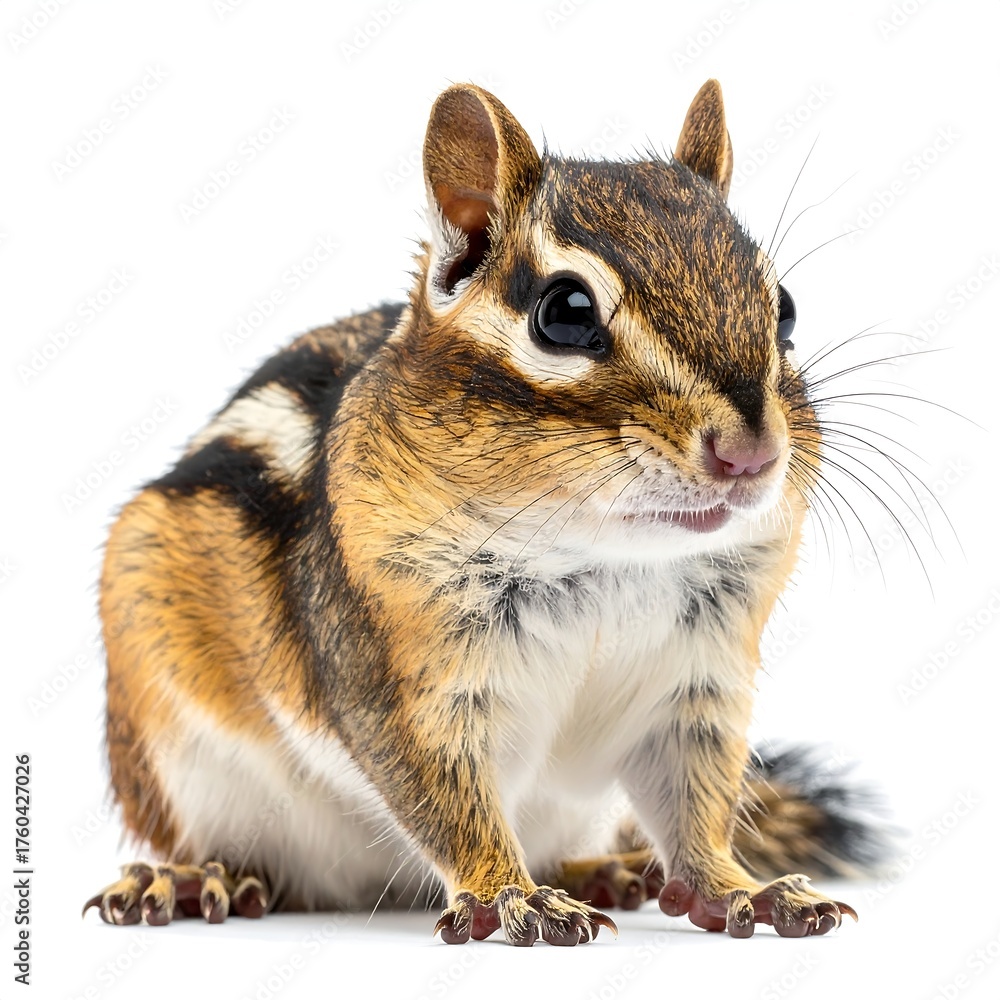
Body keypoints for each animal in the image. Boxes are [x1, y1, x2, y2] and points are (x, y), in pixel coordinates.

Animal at [83, 80, 881, 945]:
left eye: (786, 309)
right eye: (565, 313)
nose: (750, 454)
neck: (607, 554)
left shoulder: (697, 688)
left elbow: (698, 806)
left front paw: (744, 888)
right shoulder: (404, 677)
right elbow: (446, 796)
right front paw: (508, 894)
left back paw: (609, 870)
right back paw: (190, 879)